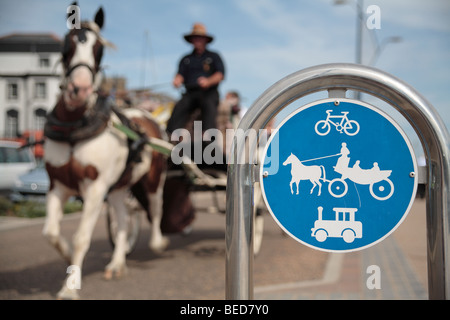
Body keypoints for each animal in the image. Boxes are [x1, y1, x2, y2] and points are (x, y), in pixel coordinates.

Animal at [43, 5, 169, 300]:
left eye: (98, 48)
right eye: (67, 44)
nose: (79, 89)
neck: (76, 125)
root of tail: (149, 118)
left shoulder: (95, 187)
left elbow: (82, 237)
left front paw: (69, 287)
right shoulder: (58, 185)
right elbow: (51, 232)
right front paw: (68, 258)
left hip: (152, 180)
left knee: (155, 210)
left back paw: (158, 242)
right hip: (119, 188)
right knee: (123, 220)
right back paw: (117, 262)